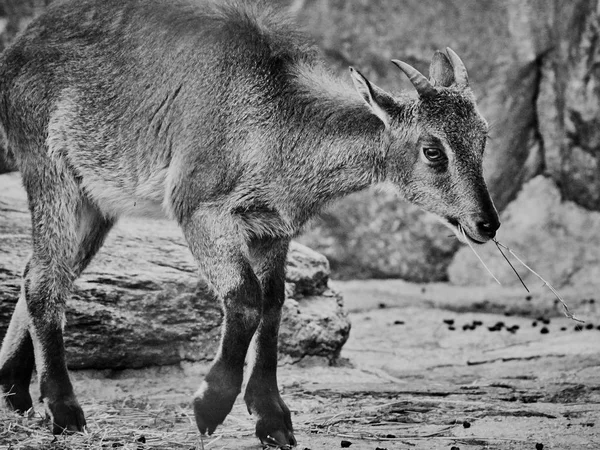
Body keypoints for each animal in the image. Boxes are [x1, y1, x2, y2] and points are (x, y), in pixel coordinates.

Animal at [0, 0, 500, 446]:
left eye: (483, 138)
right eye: (433, 150)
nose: (486, 224)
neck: (275, 122)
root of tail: (14, 51)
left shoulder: (271, 229)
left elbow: (274, 305)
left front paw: (273, 420)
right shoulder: (200, 208)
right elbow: (245, 298)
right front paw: (211, 406)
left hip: (97, 204)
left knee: (39, 273)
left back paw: (14, 390)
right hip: (53, 172)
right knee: (45, 281)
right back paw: (64, 411)